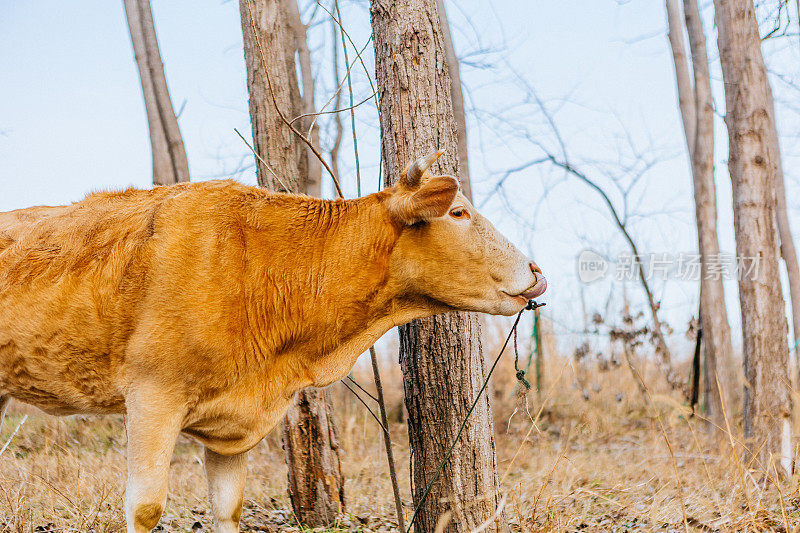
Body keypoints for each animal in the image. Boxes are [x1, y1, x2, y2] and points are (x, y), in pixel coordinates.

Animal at [0, 152, 544, 528]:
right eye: (458, 213)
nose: (536, 272)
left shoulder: (231, 424)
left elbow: (228, 509)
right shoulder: (152, 395)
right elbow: (146, 508)